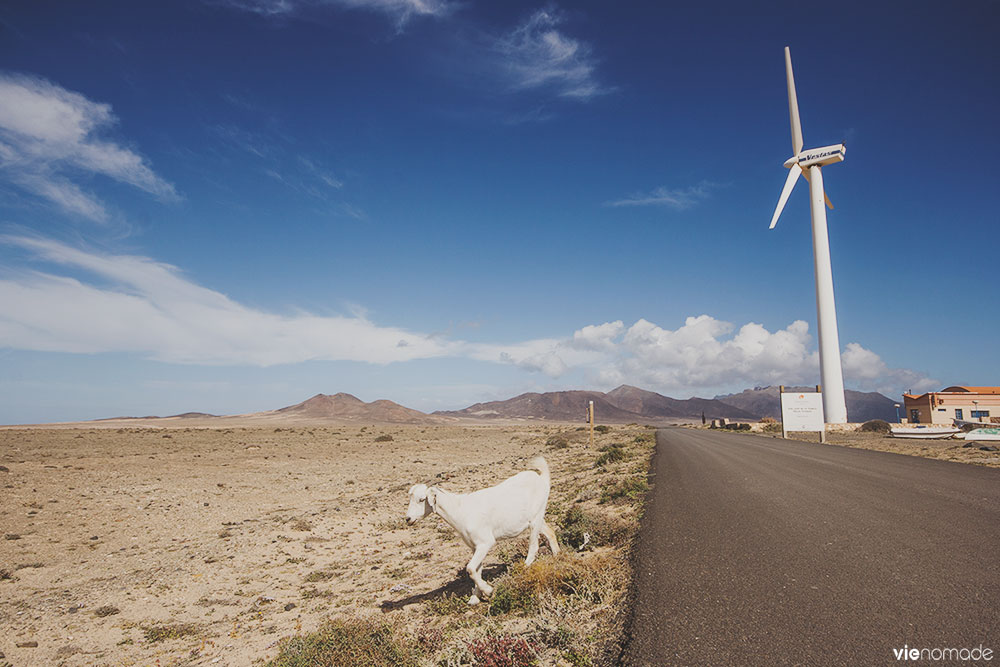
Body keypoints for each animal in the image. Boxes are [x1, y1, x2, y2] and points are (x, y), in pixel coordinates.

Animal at [408, 460, 564, 604]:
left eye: (422, 499)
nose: (408, 519)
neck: (461, 510)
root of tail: (541, 478)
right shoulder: (474, 547)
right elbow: (477, 570)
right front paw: (475, 597)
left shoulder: (485, 543)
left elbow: (470, 569)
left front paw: (488, 591)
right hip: (537, 519)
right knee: (550, 532)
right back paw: (558, 558)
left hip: (536, 519)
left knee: (533, 546)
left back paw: (521, 569)